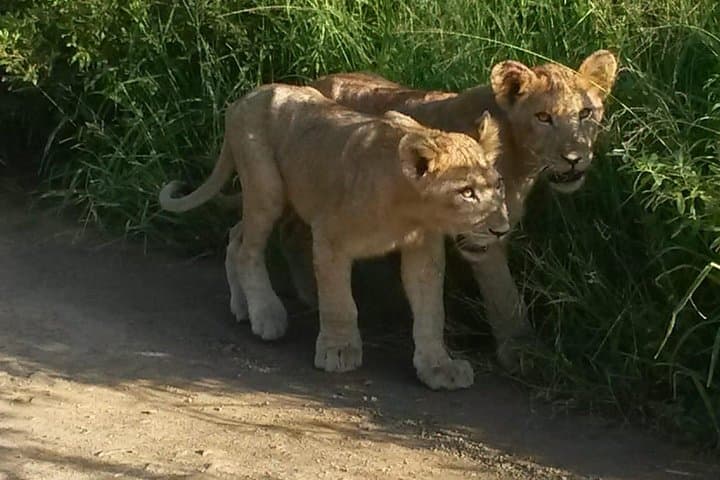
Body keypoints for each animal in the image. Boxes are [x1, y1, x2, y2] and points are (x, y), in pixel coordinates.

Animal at [159, 84, 510, 390]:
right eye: (467, 192)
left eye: (498, 185)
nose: (502, 229)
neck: (408, 210)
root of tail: (246, 97)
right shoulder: (329, 237)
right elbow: (340, 302)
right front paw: (338, 349)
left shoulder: (423, 249)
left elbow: (431, 310)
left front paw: (438, 366)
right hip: (266, 186)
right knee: (249, 249)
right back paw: (266, 314)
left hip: (286, 197)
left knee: (236, 236)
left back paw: (243, 305)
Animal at [276, 51, 618, 370]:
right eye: (543, 117)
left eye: (585, 113)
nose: (573, 158)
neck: (522, 158)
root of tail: (317, 81)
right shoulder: (479, 235)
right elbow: (504, 293)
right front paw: (522, 349)